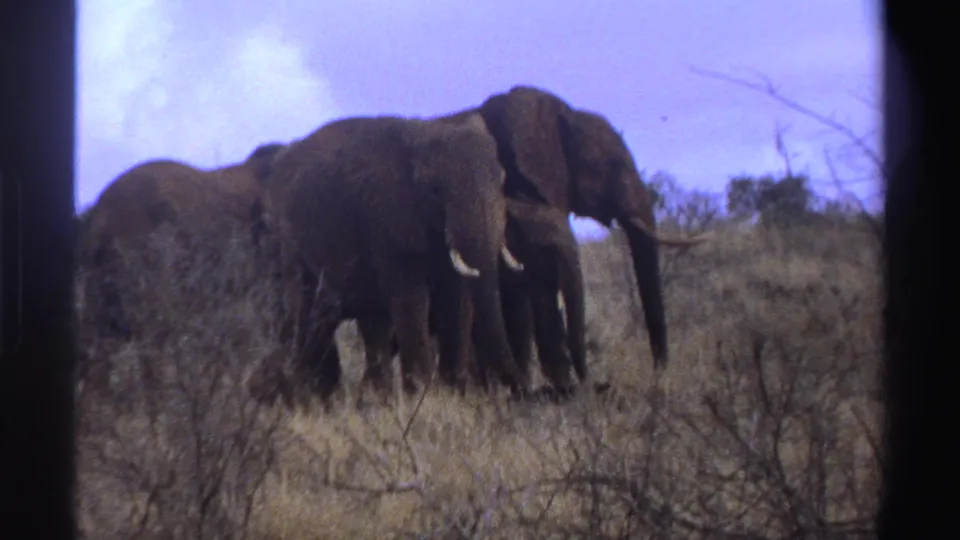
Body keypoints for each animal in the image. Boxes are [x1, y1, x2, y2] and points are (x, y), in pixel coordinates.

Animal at [257, 112, 529, 402]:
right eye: (435, 190)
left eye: (501, 182)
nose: (520, 390)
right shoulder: (387, 222)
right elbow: (411, 299)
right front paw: (424, 398)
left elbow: (459, 301)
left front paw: (454, 396)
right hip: (286, 246)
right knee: (308, 317)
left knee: (371, 324)